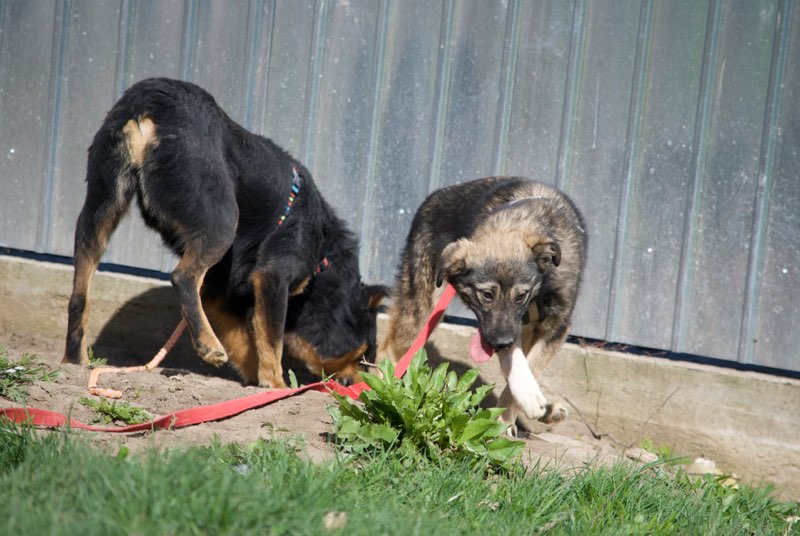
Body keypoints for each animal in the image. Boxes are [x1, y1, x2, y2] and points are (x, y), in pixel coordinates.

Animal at [63, 77, 388, 388]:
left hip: (101, 206)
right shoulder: (272, 277)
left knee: (79, 290)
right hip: (221, 220)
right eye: (363, 355)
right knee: (183, 276)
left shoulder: (221, 289)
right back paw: (208, 346)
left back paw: (73, 362)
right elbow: (271, 340)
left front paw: (255, 382)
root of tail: (152, 100)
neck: (323, 257)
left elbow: (245, 342)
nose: (367, 386)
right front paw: (277, 386)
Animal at [378, 178, 584, 434]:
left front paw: (511, 415)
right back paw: (383, 390)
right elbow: (514, 360)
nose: (501, 343)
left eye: (521, 296)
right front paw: (520, 404)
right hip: (423, 306)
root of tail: (433, 197)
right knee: (394, 346)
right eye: (486, 295)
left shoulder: (555, 326)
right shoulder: (501, 328)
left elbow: (530, 364)